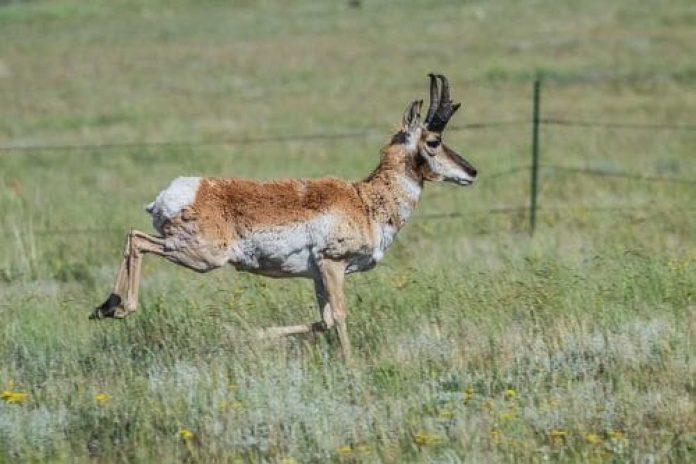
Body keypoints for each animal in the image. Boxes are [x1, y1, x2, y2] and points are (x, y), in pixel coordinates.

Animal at [92, 74, 476, 360]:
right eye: (434, 141)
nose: (472, 172)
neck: (365, 200)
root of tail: (178, 192)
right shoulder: (333, 264)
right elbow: (339, 316)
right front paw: (352, 367)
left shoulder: (318, 275)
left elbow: (323, 321)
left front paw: (254, 334)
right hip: (202, 255)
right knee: (138, 239)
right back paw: (117, 307)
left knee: (133, 237)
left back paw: (105, 308)